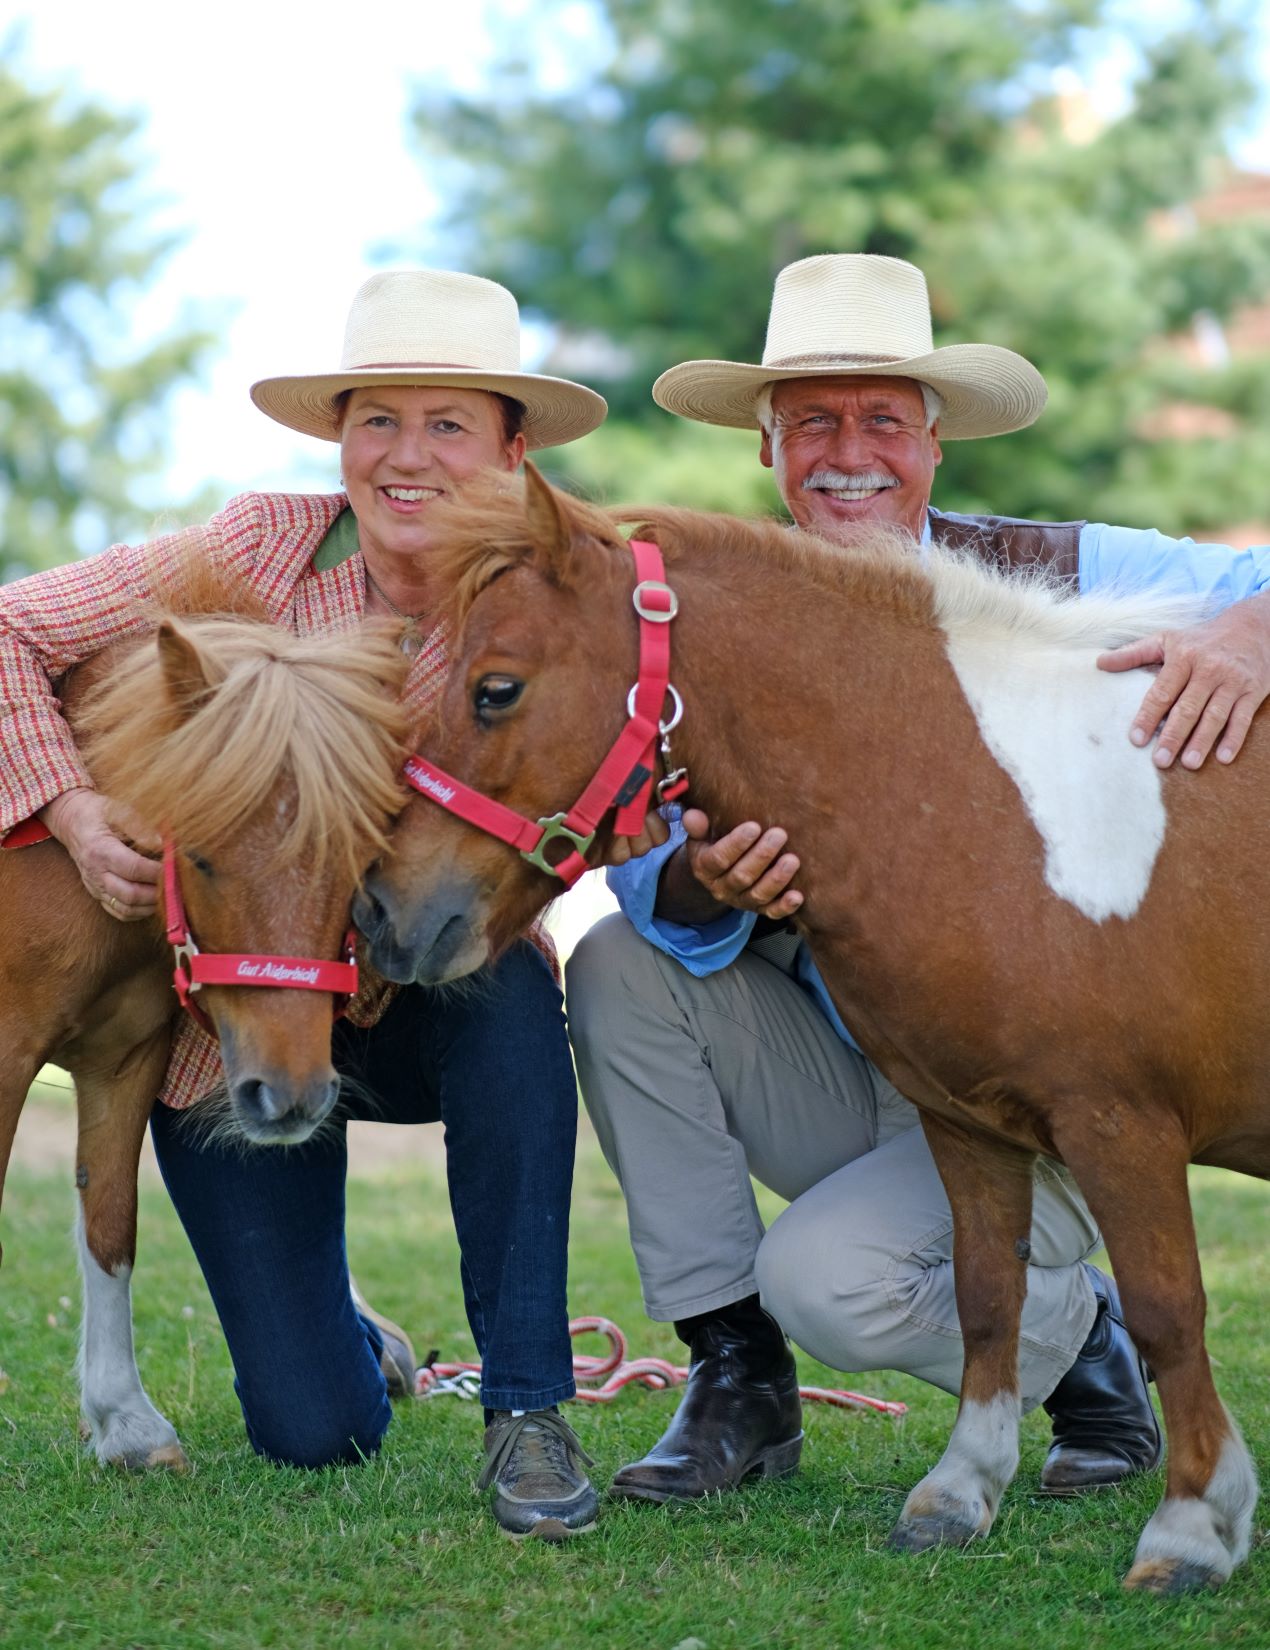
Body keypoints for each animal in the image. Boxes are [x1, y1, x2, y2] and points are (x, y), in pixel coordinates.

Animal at [0, 574, 405, 1478]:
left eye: (355, 863)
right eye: (203, 856)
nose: (289, 1096)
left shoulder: (124, 1062)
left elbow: (111, 1223)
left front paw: (125, 1422)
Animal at [361, 468, 1260, 1597]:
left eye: (495, 689)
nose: (380, 913)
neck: (994, 803)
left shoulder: (1121, 1130)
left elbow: (1167, 1311)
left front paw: (1193, 1527)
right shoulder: (970, 1129)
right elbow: (988, 1296)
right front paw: (960, 1491)